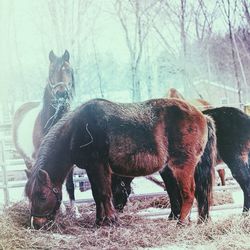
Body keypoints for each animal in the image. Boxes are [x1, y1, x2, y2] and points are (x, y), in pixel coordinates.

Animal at [12, 50, 78, 215]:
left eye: (68, 70)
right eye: (51, 70)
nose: (61, 93)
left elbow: (70, 183)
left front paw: (75, 211)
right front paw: (60, 209)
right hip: (28, 159)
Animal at [24, 97, 211, 229]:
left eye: (42, 195)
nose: (37, 224)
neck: (76, 130)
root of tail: (202, 116)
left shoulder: (99, 166)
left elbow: (104, 194)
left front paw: (111, 220)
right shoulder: (91, 169)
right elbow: (97, 195)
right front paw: (99, 221)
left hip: (182, 166)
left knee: (189, 193)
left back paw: (181, 222)